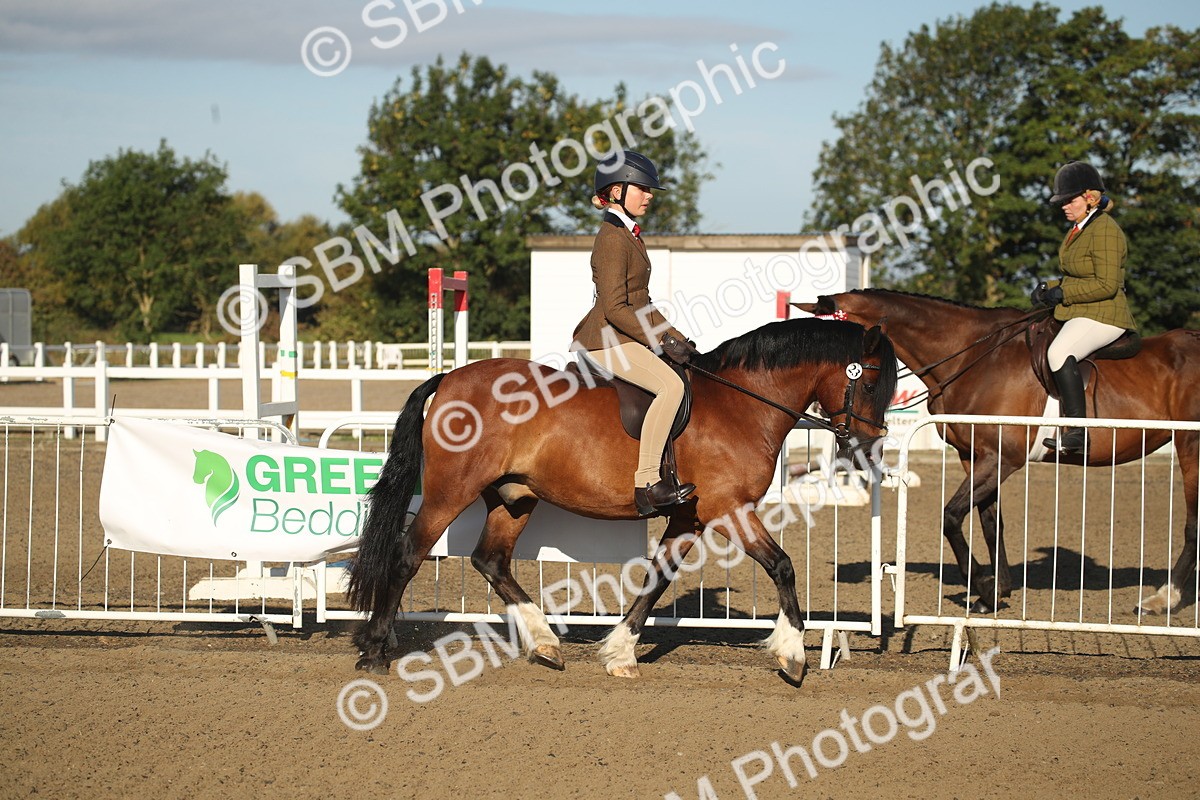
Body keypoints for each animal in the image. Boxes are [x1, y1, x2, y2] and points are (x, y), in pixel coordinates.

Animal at [347, 318, 898, 683]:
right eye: (872, 379)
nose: (869, 447)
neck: (741, 404)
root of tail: (450, 378)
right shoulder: (729, 509)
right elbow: (782, 565)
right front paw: (792, 655)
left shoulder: (690, 517)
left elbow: (657, 580)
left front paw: (620, 652)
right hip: (450, 491)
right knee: (408, 556)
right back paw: (374, 651)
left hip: (514, 496)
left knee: (491, 560)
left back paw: (544, 644)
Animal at [794, 289, 1200, 614]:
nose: (810, 404)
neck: (973, 357)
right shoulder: (976, 457)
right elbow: (991, 521)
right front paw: (996, 592)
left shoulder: (1001, 459)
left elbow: (951, 516)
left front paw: (982, 585)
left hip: (1190, 447)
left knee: (1193, 523)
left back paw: (1163, 599)